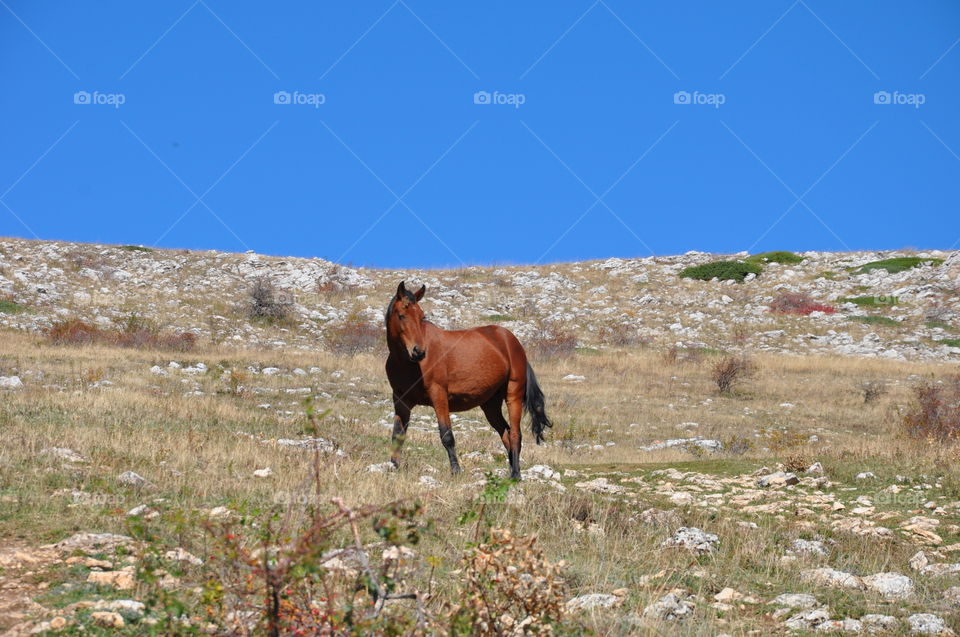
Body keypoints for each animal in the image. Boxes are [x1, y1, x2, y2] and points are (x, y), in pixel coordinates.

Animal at [384, 281, 553, 479]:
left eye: (421, 316)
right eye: (401, 315)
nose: (419, 351)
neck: (407, 363)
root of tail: (513, 342)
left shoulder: (438, 395)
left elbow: (447, 435)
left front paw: (456, 470)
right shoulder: (401, 401)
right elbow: (398, 435)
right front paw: (393, 466)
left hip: (513, 396)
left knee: (515, 435)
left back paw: (516, 475)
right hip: (490, 405)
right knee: (506, 434)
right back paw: (511, 472)